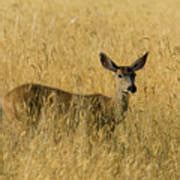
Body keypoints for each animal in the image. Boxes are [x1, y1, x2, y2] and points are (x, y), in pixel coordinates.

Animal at [0, 51, 148, 139]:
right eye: (119, 75)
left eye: (134, 74)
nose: (132, 87)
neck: (109, 109)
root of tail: (5, 98)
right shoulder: (90, 127)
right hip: (22, 119)